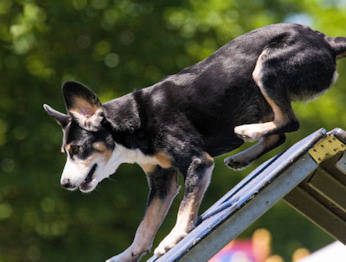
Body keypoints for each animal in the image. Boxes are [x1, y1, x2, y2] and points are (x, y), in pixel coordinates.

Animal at [44, 23, 346, 260]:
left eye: (77, 150)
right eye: (66, 151)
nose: (64, 184)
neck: (136, 120)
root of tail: (325, 40)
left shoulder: (196, 162)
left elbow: (184, 209)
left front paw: (172, 239)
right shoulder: (162, 181)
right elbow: (145, 225)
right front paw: (126, 256)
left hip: (266, 68)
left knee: (289, 122)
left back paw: (248, 132)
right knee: (279, 132)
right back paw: (242, 157)